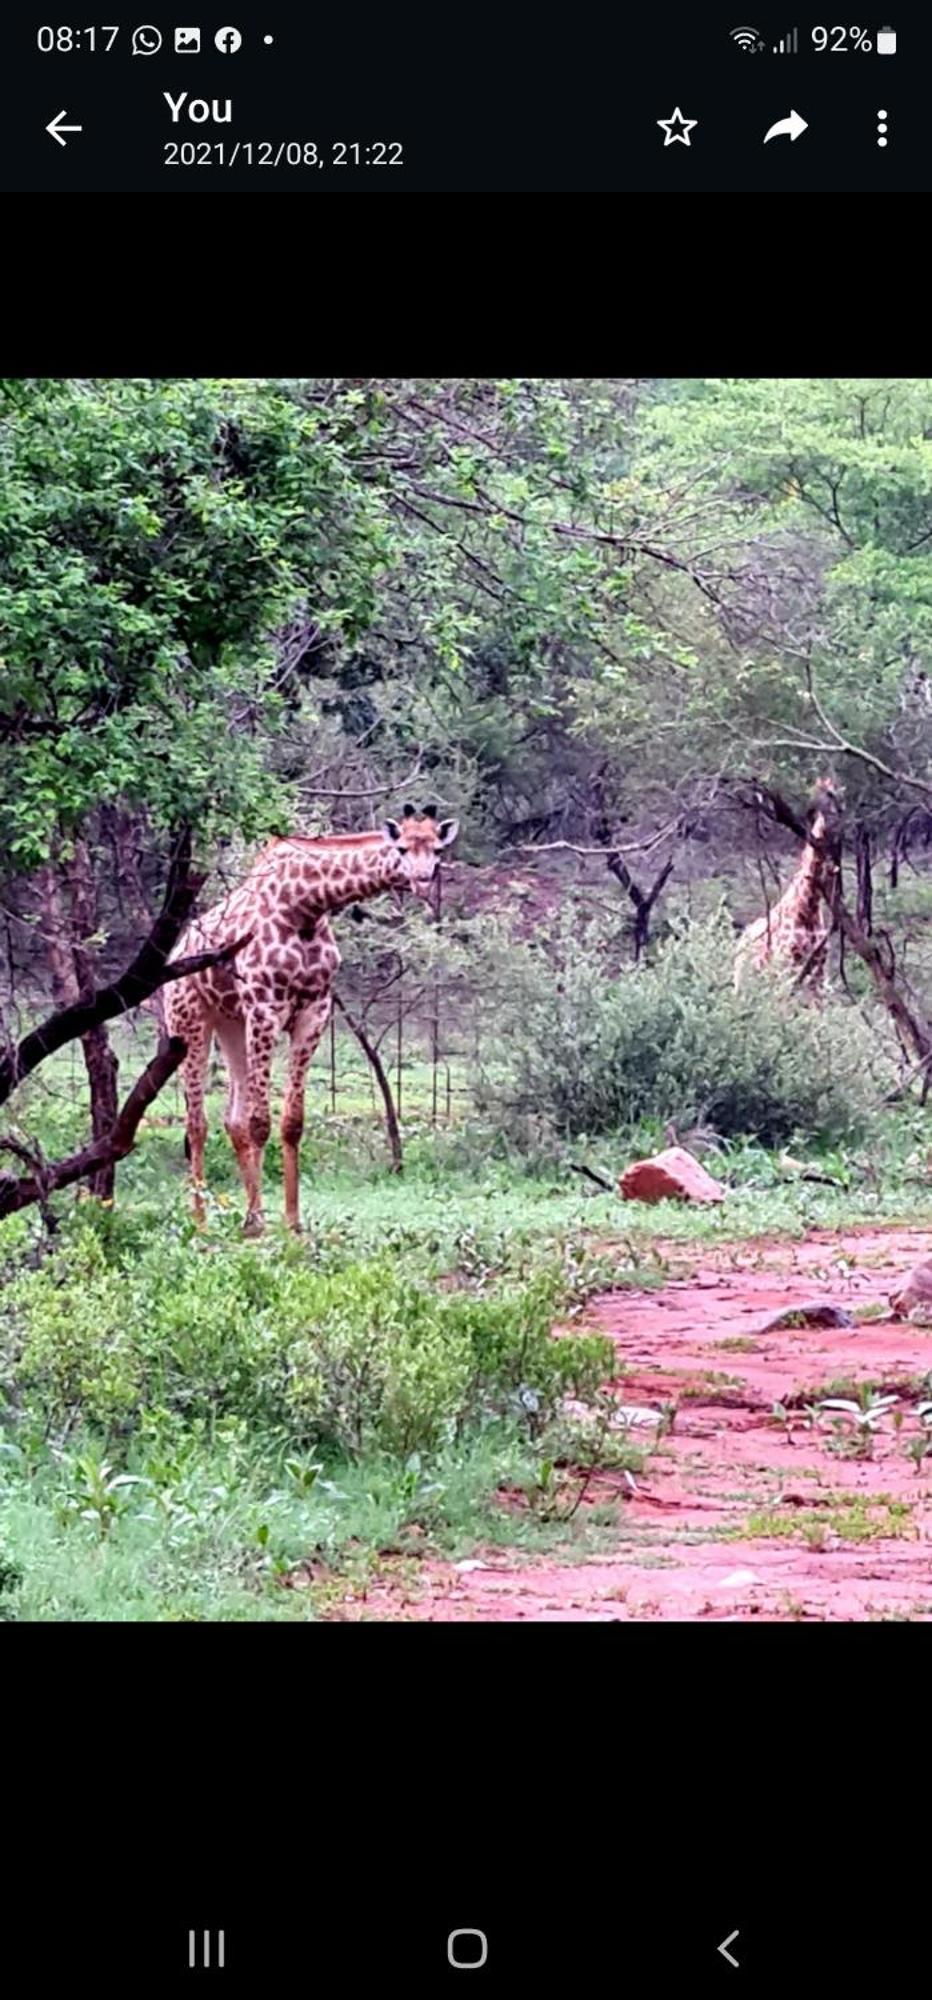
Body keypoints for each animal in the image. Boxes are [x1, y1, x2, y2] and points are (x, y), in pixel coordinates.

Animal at [168, 804, 462, 1224]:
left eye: (437, 850)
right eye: (402, 848)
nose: (422, 881)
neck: (306, 905)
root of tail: (175, 951)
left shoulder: (314, 1010)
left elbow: (292, 1122)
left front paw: (291, 1222)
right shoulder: (265, 1006)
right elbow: (261, 1123)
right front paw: (266, 1226)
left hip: (231, 1022)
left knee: (231, 1119)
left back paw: (248, 1216)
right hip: (189, 1019)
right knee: (197, 1123)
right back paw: (201, 1220)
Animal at [736, 780, 844, 1000]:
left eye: (841, 805)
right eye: (827, 800)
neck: (807, 909)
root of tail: (741, 940)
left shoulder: (818, 973)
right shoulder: (786, 966)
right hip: (743, 982)